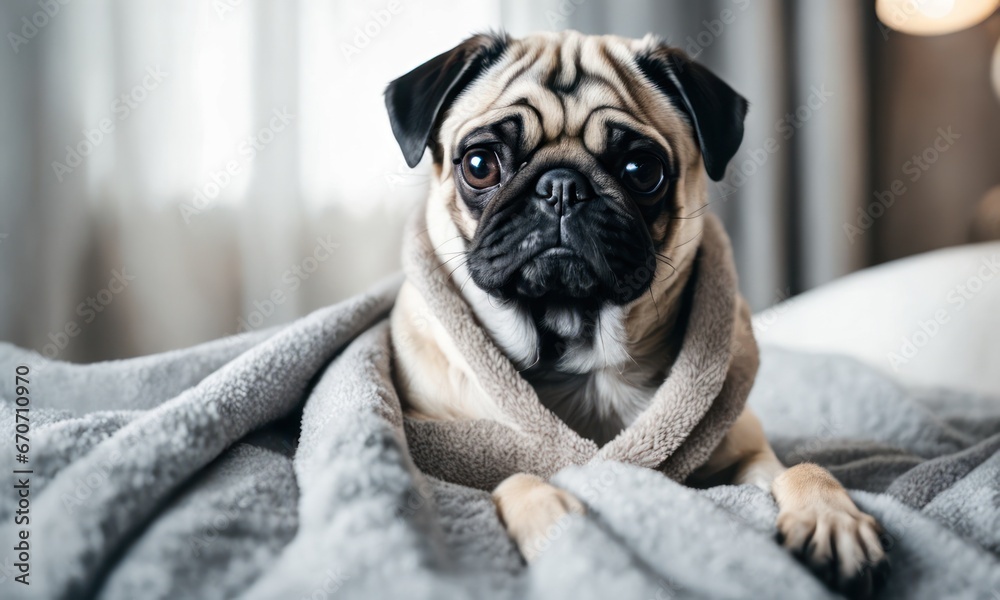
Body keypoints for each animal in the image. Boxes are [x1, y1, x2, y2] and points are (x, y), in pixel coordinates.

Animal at [386, 31, 888, 596]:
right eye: (480, 165)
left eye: (641, 170)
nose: (561, 187)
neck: (580, 357)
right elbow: (516, 478)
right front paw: (560, 523)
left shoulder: (747, 456)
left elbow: (797, 467)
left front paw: (831, 517)